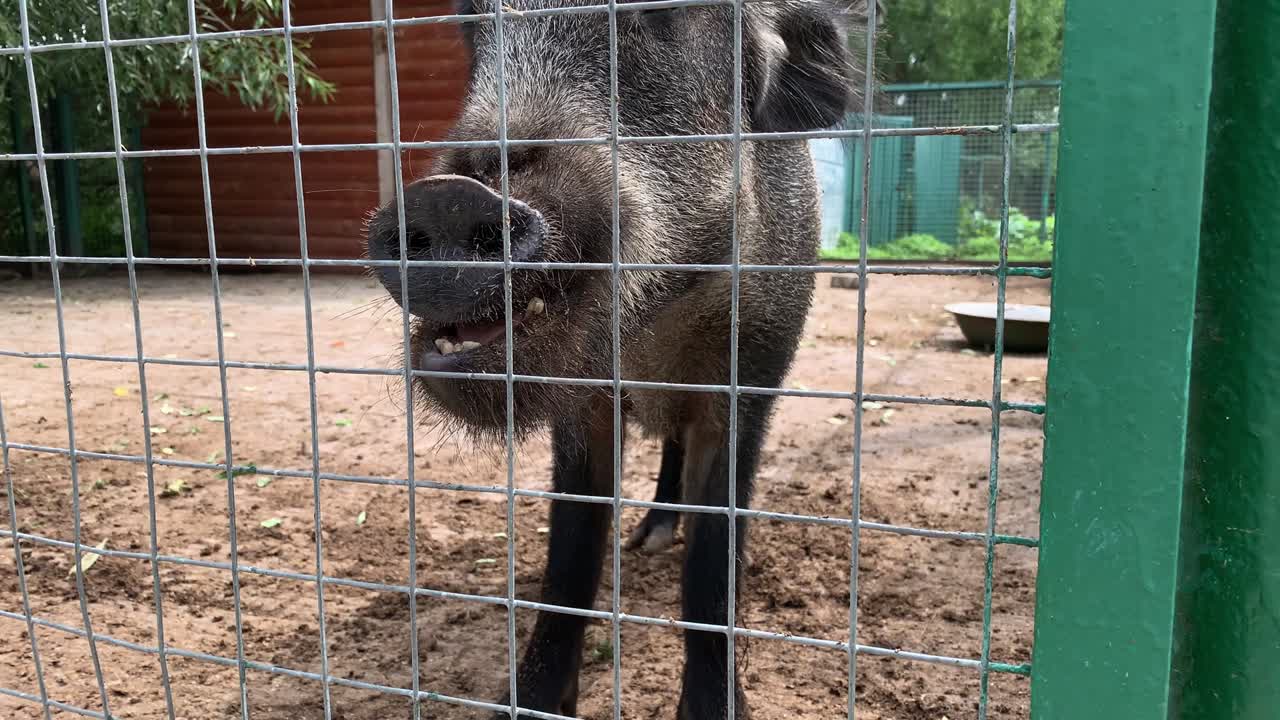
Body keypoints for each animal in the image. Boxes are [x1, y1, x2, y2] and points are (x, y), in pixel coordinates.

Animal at [365, 0, 864, 716]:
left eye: (659, 14)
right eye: (474, 21)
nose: (449, 194)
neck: (655, 325)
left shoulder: (752, 376)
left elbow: (711, 568)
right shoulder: (586, 406)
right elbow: (571, 553)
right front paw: (534, 701)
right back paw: (646, 539)